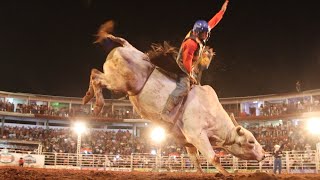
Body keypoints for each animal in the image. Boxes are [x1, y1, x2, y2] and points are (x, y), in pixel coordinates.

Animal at [82, 32, 264, 174]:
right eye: (251, 141)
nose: (264, 154)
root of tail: (127, 47)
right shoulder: (197, 135)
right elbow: (213, 158)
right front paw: (227, 174)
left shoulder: (188, 141)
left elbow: (196, 161)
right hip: (119, 82)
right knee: (96, 77)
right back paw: (96, 105)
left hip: (119, 85)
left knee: (94, 72)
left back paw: (88, 96)